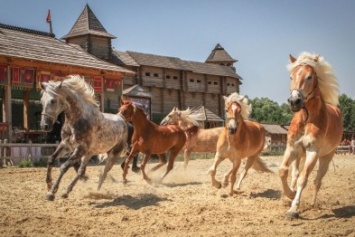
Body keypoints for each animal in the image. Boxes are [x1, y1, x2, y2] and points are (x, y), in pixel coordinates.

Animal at [280, 51, 344, 218]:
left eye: (309, 76)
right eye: (291, 76)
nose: (294, 101)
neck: (306, 118)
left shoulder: (312, 152)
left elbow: (304, 179)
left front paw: (293, 209)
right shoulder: (292, 148)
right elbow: (283, 171)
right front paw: (289, 195)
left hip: (326, 158)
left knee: (317, 181)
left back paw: (314, 204)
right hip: (299, 155)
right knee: (295, 173)